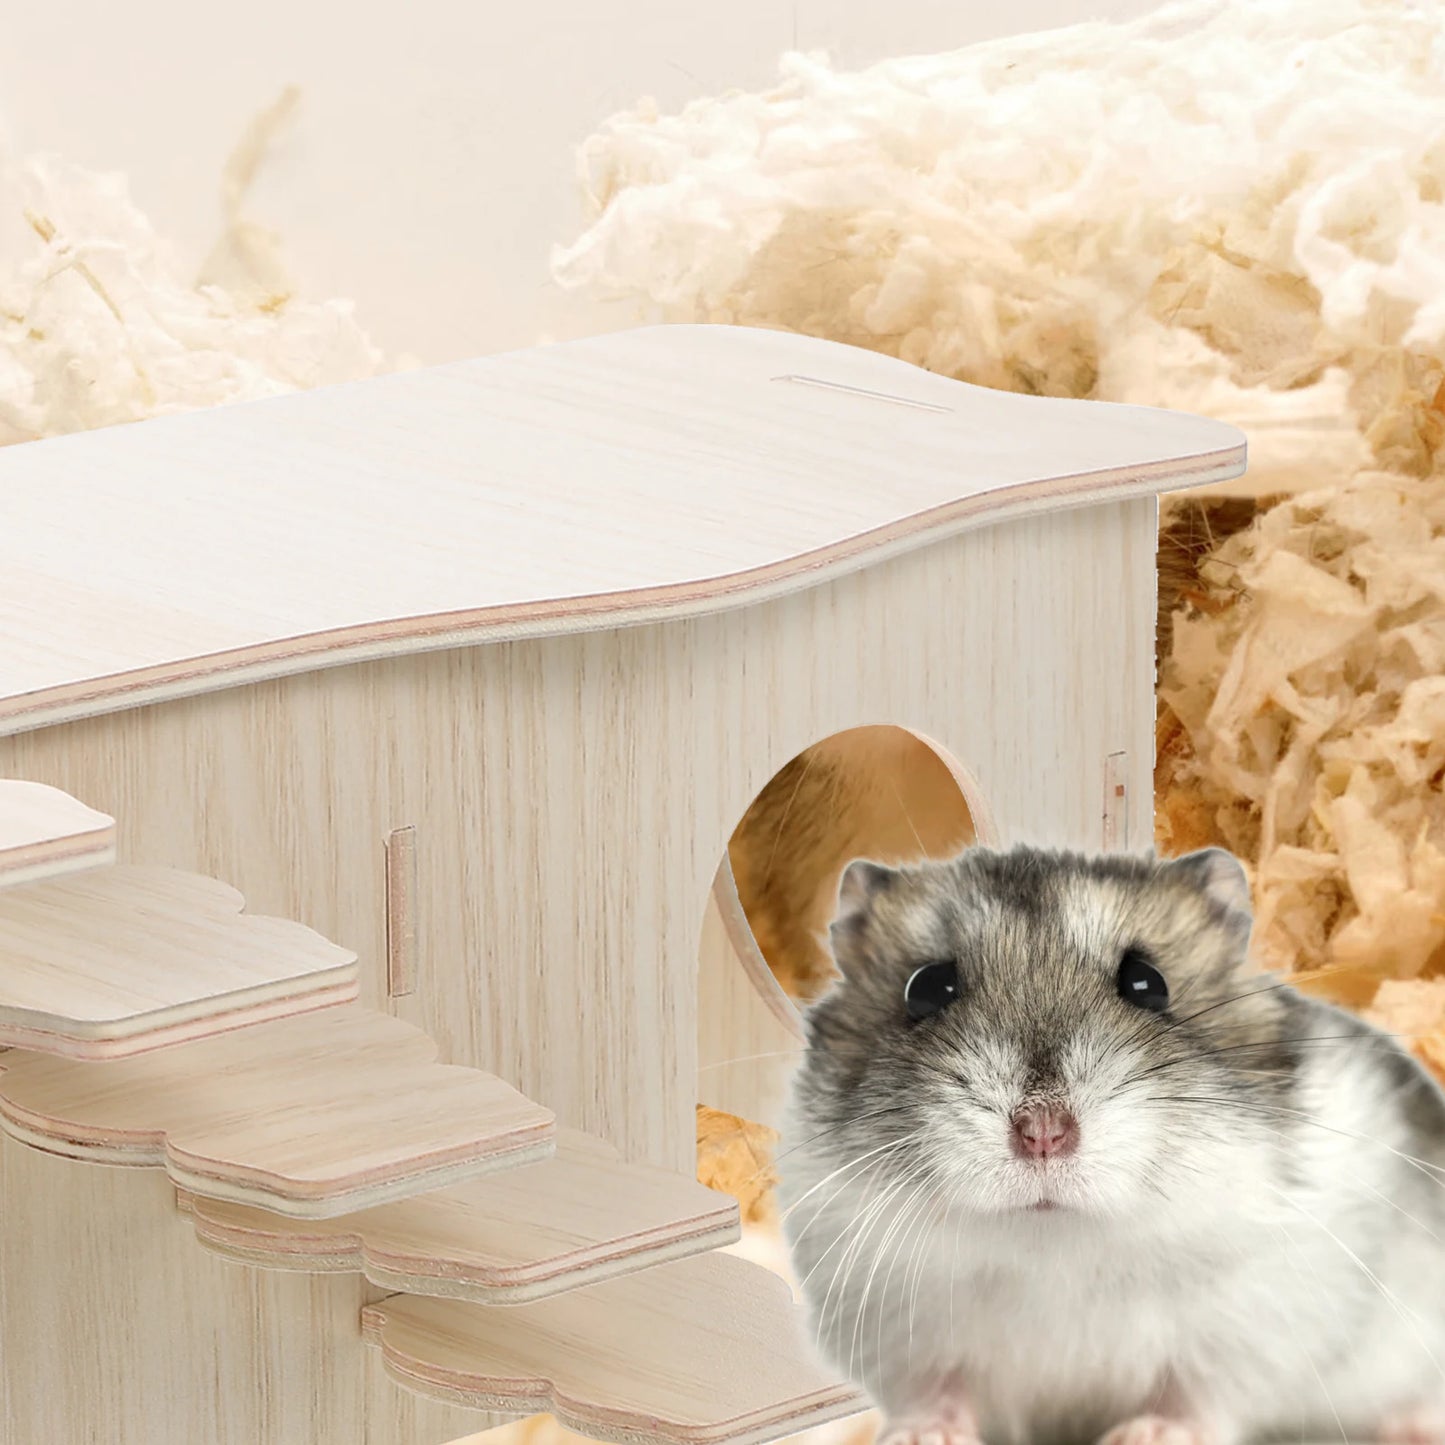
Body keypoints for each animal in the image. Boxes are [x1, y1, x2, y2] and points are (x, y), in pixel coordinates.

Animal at [776, 844, 1445, 1445]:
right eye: (926, 988)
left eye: (1148, 984)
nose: (1043, 1133)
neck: (1054, 1245)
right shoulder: (898, 1330)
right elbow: (936, 1392)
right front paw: (917, 1437)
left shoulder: (1256, 1325)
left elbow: (1199, 1397)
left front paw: (1142, 1436)